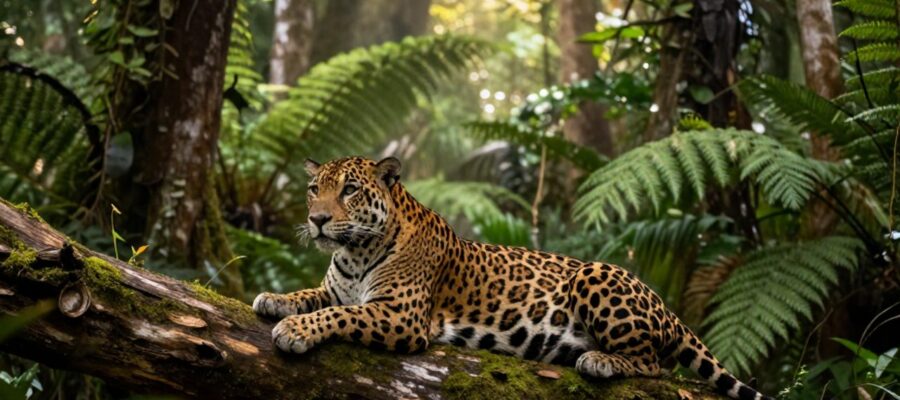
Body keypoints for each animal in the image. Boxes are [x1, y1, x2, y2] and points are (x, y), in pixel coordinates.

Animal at [252, 156, 772, 400]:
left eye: (350, 191)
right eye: (313, 189)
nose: (318, 220)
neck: (356, 251)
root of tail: (664, 303)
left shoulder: (401, 316)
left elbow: (341, 315)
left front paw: (296, 330)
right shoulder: (335, 287)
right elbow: (314, 295)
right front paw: (274, 299)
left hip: (595, 275)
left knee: (654, 364)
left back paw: (599, 361)